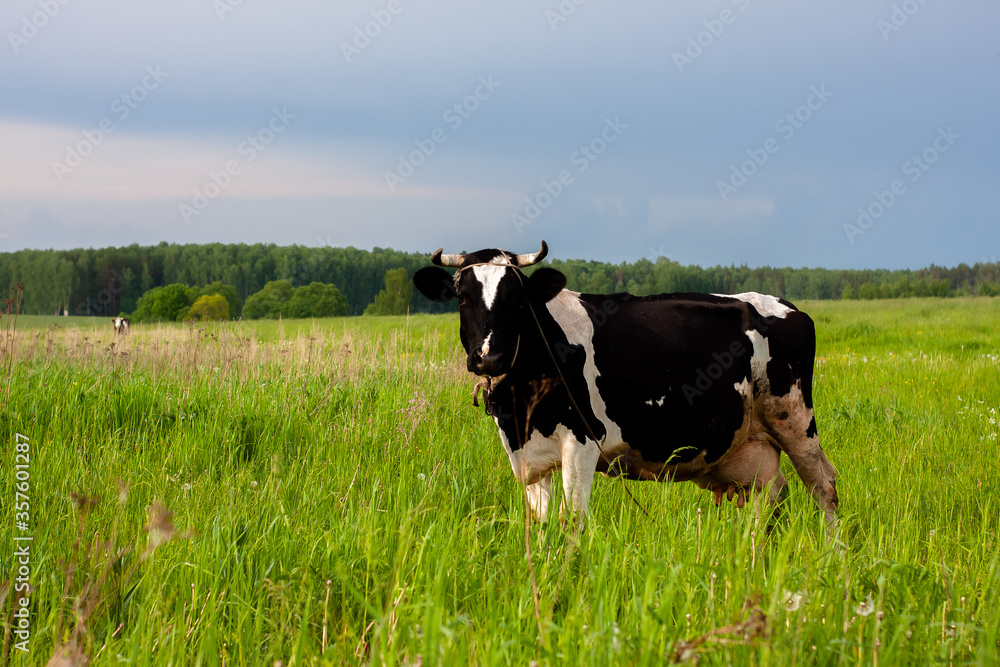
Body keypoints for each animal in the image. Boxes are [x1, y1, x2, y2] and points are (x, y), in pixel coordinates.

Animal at [410, 240, 840, 528]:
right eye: (462, 297)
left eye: (517, 298)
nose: (489, 357)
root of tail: (785, 305)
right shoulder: (527, 455)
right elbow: (543, 522)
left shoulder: (583, 440)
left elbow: (573, 519)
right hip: (752, 445)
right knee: (772, 495)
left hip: (796, 420)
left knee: (824, 486)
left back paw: (832, 558)